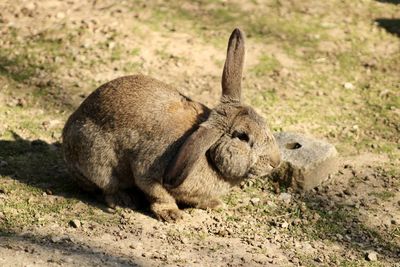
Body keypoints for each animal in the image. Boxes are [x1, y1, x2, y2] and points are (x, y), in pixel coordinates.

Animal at [62, 28, 282, 223]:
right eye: (243, 136)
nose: (276, 162)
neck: (208, 152)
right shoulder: (148, 172)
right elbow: (159, 194)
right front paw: (172, 215)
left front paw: (215, 204)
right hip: (95, 159)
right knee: (106, 187)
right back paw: (124, 200)